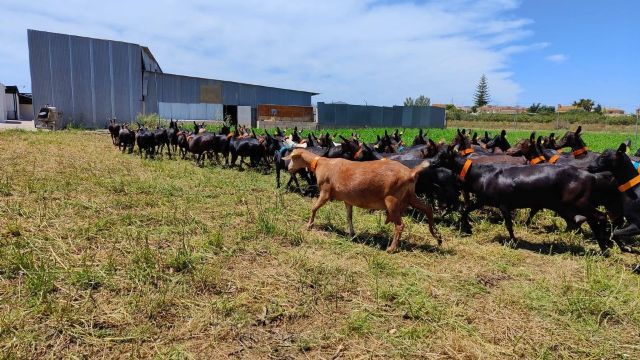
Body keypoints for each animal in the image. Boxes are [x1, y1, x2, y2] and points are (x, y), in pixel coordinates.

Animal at [286, 148, 442, 252]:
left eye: (293, 158)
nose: (288, 168)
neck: (320, 164)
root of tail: (411, 172)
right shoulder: (347, 199)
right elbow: (349, 217)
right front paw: (351, 234)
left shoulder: (325, 192)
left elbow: (314, 208)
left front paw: (309, 225)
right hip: (410, 195)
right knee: (428, 209)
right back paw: (437, 236)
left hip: (393, 200)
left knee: (400, 225)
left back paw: (391, 248)